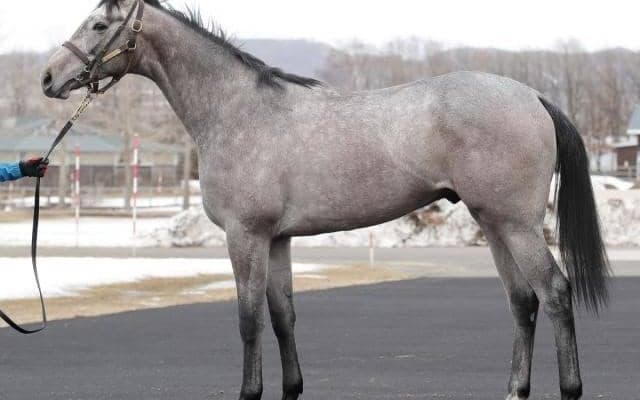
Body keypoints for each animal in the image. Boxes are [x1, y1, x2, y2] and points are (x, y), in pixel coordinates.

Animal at [41, 1, 610, 399]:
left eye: (97, 25)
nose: (48, 77)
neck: (237, 110)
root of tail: (532, 95)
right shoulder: (277, 240)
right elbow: (282, 316)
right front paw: (291, 388)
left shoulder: (246, 236)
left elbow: (248, 318)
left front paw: (250, 391)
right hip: (493, 224)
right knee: (522, 301)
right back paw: (515, 389)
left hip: (516, 225)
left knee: (555, 292)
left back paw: (570, 388)